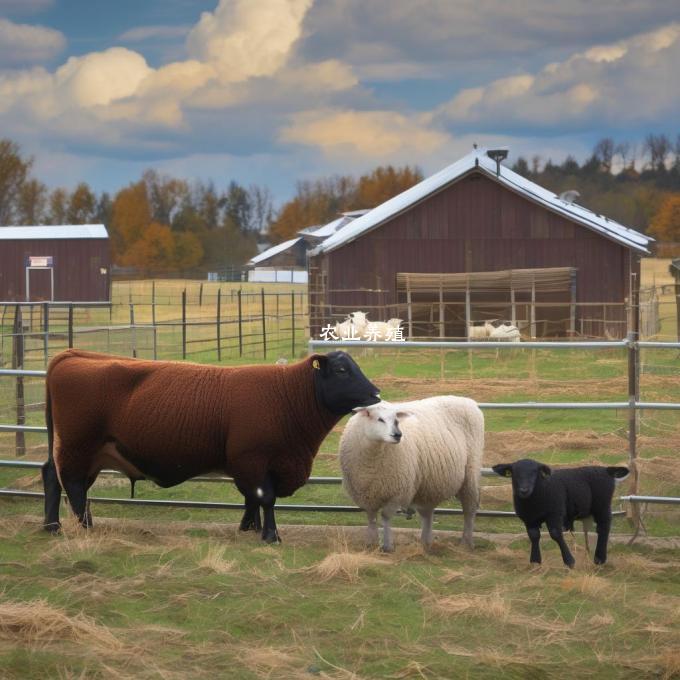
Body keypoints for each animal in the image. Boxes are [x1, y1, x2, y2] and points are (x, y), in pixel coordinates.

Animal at [42, 350, 380, 540]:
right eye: (341, 370)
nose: (375, 392)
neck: (286, 395)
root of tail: (73, 356)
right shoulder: (253, 460)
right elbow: (265, 497)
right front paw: (270, 535)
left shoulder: (256, 465)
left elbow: (252, 498)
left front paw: (250, 527)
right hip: (78, 447)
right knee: (73, 486)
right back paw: (84, 527)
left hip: (85, 452)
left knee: (52, 477)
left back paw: (52, 525)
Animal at [340, 398, 484, 552]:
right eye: (380, 419)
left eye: (397, 420)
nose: (398, 435)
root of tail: (468, 401)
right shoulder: (367, 494)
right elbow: (371, 518)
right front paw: (371, 544)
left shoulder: (397, 492)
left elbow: (385, 517)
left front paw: (387, 546)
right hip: (429, 483)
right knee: (427, 512)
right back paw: (426, 542)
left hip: (471, 471)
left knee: (469, 508)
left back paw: (466, 542)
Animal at [492, 456, 628, 568]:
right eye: (514, 473)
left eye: (535, 472)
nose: (524, 490)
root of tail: (607, 470)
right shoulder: (528, 518)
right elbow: (533, 535)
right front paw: (535, 561)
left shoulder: (555, 512)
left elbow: (556, 534)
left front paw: (569, 561)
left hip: (602, 504)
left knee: (604, 526)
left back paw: (599, 559)